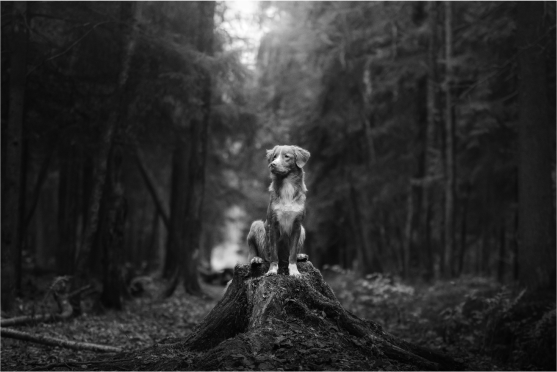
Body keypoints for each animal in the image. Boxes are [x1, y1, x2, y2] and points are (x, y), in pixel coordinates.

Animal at [247, 145, 308, 276]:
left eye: (287, 156)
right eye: (274, 157)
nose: (272, 164)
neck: (287, 187)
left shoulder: (297, 225)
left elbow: (293, 253)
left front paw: (294, 271)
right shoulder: (273, 225)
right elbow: (274, 254)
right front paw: (272, 270)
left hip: (303, 229)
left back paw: (300, 256)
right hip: (256, 225)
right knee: (254, 252)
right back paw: (256, 259)